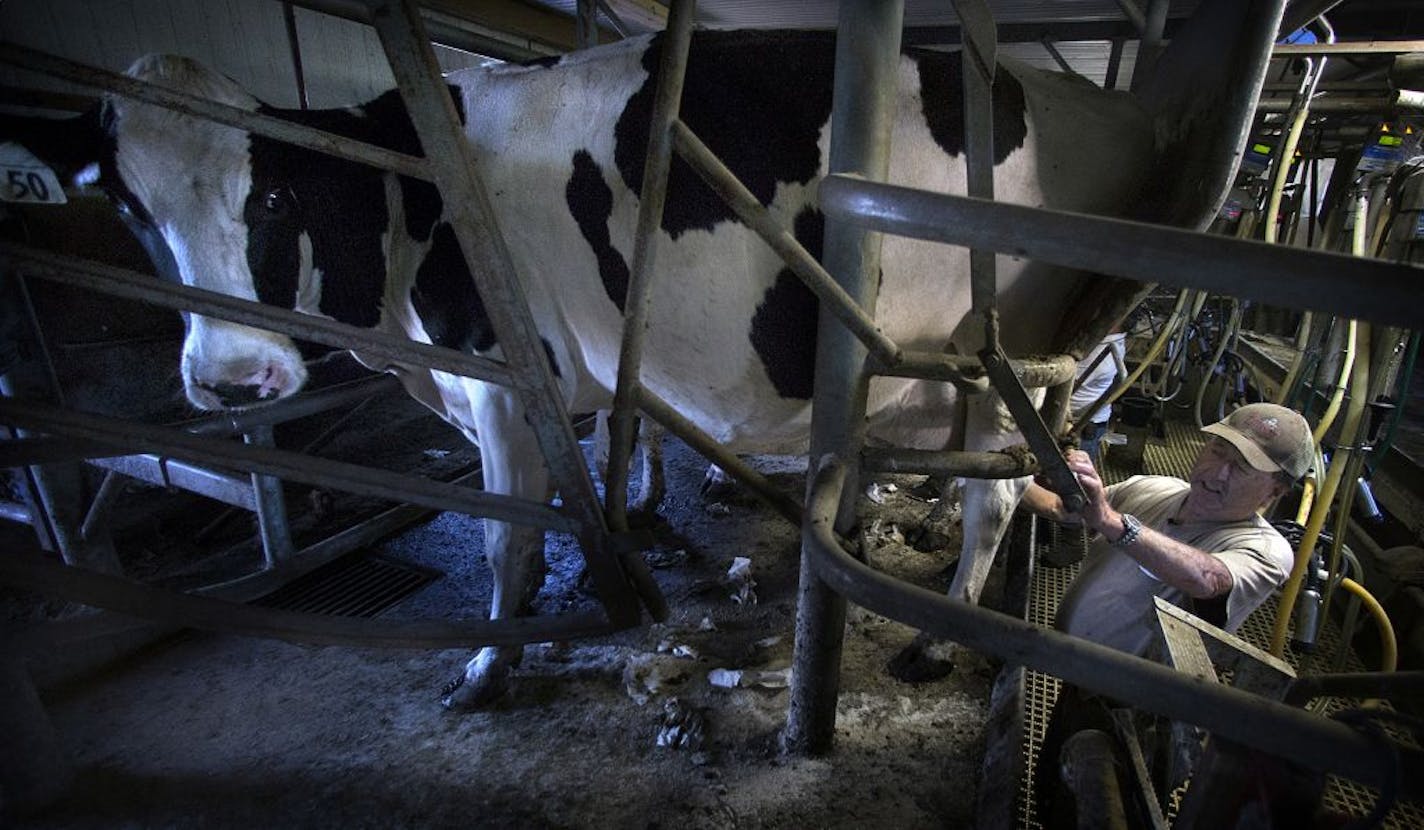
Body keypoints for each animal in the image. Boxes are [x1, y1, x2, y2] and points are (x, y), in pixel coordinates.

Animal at [13, 0, 1281, 708]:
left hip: (1004, 361)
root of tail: (1093, 100)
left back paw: (931, 639)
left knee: (997, 497)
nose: (234, 380)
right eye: (127, 207)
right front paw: (621, 535)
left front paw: (487, 668)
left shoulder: (498, 371)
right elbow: (604, 469)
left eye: (275, 193)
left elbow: (506, 533)